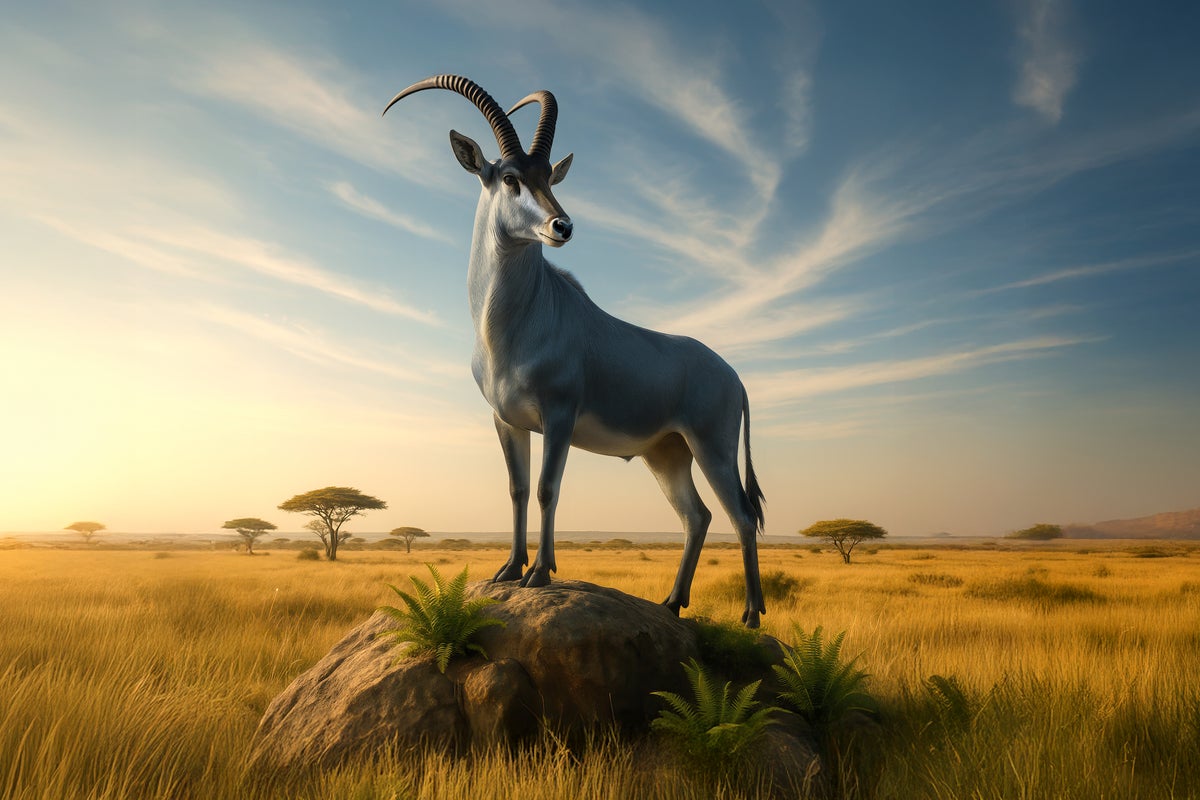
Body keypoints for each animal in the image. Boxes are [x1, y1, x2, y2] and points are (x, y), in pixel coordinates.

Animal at [383, 75, 767, 626]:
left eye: (550, 176)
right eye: (509, 178)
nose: (562, 226)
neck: (515, 324)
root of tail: (734, 376)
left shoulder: (559, 417)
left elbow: (548, 488)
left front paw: (541, 573)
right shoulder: (507, 421)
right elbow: (518, 489)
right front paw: (510, 570)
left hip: (711, 447)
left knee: (740, 514)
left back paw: (752, 616)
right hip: (667, 454)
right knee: (698, 515)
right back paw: (672, 603)